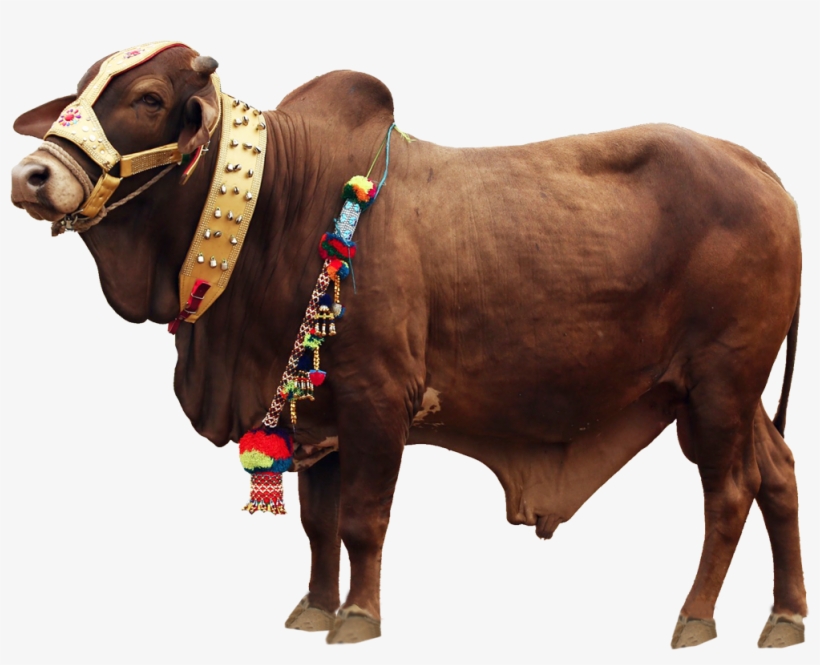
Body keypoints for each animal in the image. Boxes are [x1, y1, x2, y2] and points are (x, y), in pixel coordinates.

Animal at [10, 42, 806, 648]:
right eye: (80, 91)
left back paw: (694, 618)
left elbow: (364, 519)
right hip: (730, 395)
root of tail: (764, 174)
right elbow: (318, 523)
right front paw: (313, 608)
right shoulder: (315, 415)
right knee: (780, 474)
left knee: (730, 492)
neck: (285, 203)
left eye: (148, 97)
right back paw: (786, 616)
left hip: (720, 384)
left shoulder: (377, 398)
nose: (31, 175)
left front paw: (359, 616)